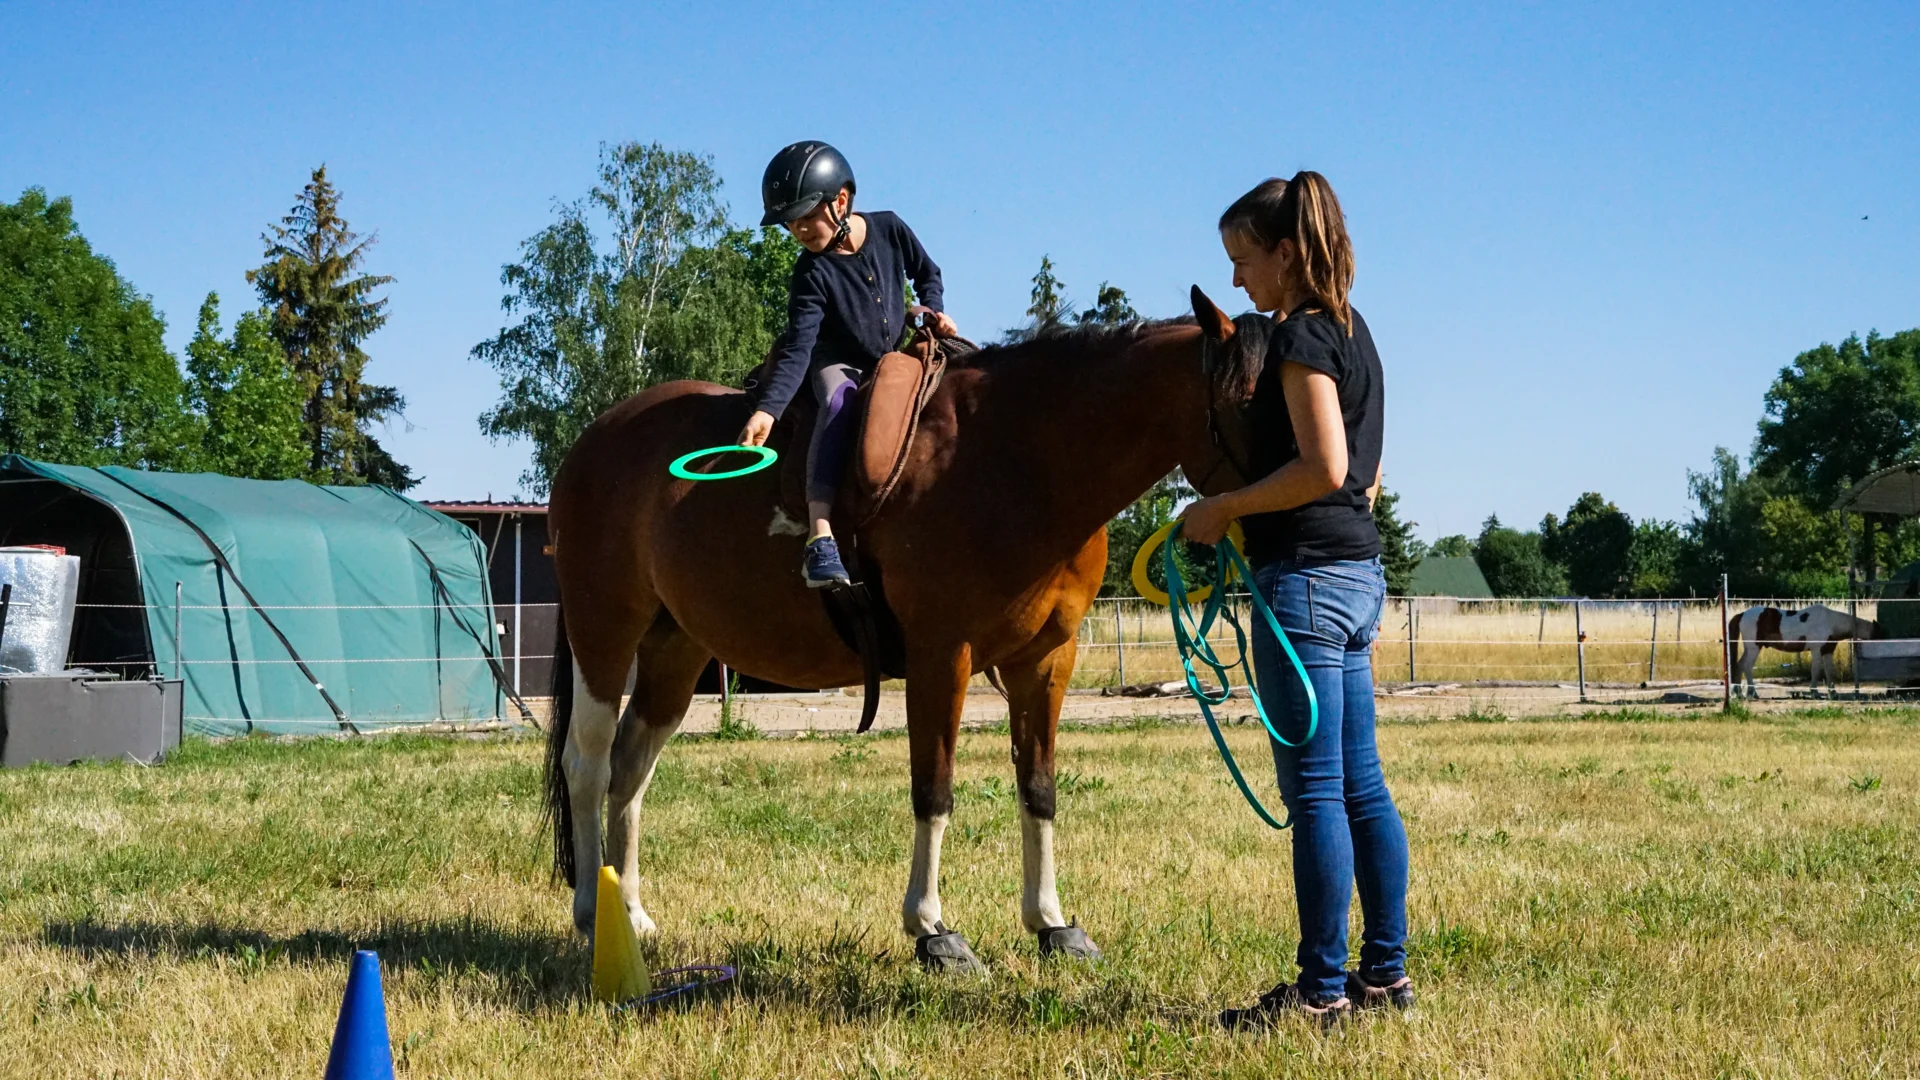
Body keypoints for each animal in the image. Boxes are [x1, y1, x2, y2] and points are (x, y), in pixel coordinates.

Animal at [541, 286, 1266, 968]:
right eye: (1257, 403)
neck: (1016, 461)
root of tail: (595, 441)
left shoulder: (1045, 661)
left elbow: (1039, 788)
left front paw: (1051, 923)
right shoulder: (941, 654)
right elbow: (934, 790)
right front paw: (933, 930)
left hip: (676, 650)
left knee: (631, 768)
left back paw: (631, 915)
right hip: (604, 631)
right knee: (588, 763)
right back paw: (592, 916)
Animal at [1727, 603, 1877, 698]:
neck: (1830, 621)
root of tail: (1742, 614)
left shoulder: (1827, 651)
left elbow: (1830, 671)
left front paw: (1833, 694)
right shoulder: (1816, 651)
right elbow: (1815, 671)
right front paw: (1815, 693)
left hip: (1749, 649)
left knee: (1739, 665)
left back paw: (1739, 693)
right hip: (1754, 648)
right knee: (1747, 667)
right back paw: (1752, 693)